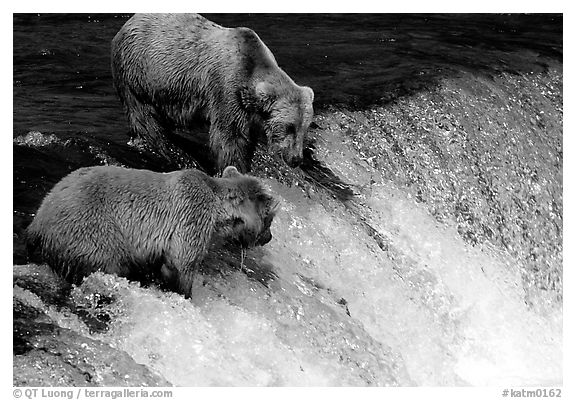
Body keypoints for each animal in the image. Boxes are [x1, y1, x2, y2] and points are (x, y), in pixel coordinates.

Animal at [25, 164, 278, 298]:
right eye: (270, 218)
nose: (268, 238)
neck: (218, 212)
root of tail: (37, 221)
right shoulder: (191, 215)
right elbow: (181, 263)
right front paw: (184, 294)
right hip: (90, 227)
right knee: (108, 261)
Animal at [111, 13, 316, 173]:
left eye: (304, 127)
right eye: (289, 126)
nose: (296, 159)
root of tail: (127, 23)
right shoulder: (226, 89)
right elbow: (229, 136)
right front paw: (235, 166)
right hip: (139, 74)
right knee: (143, 114)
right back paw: (160, 144)